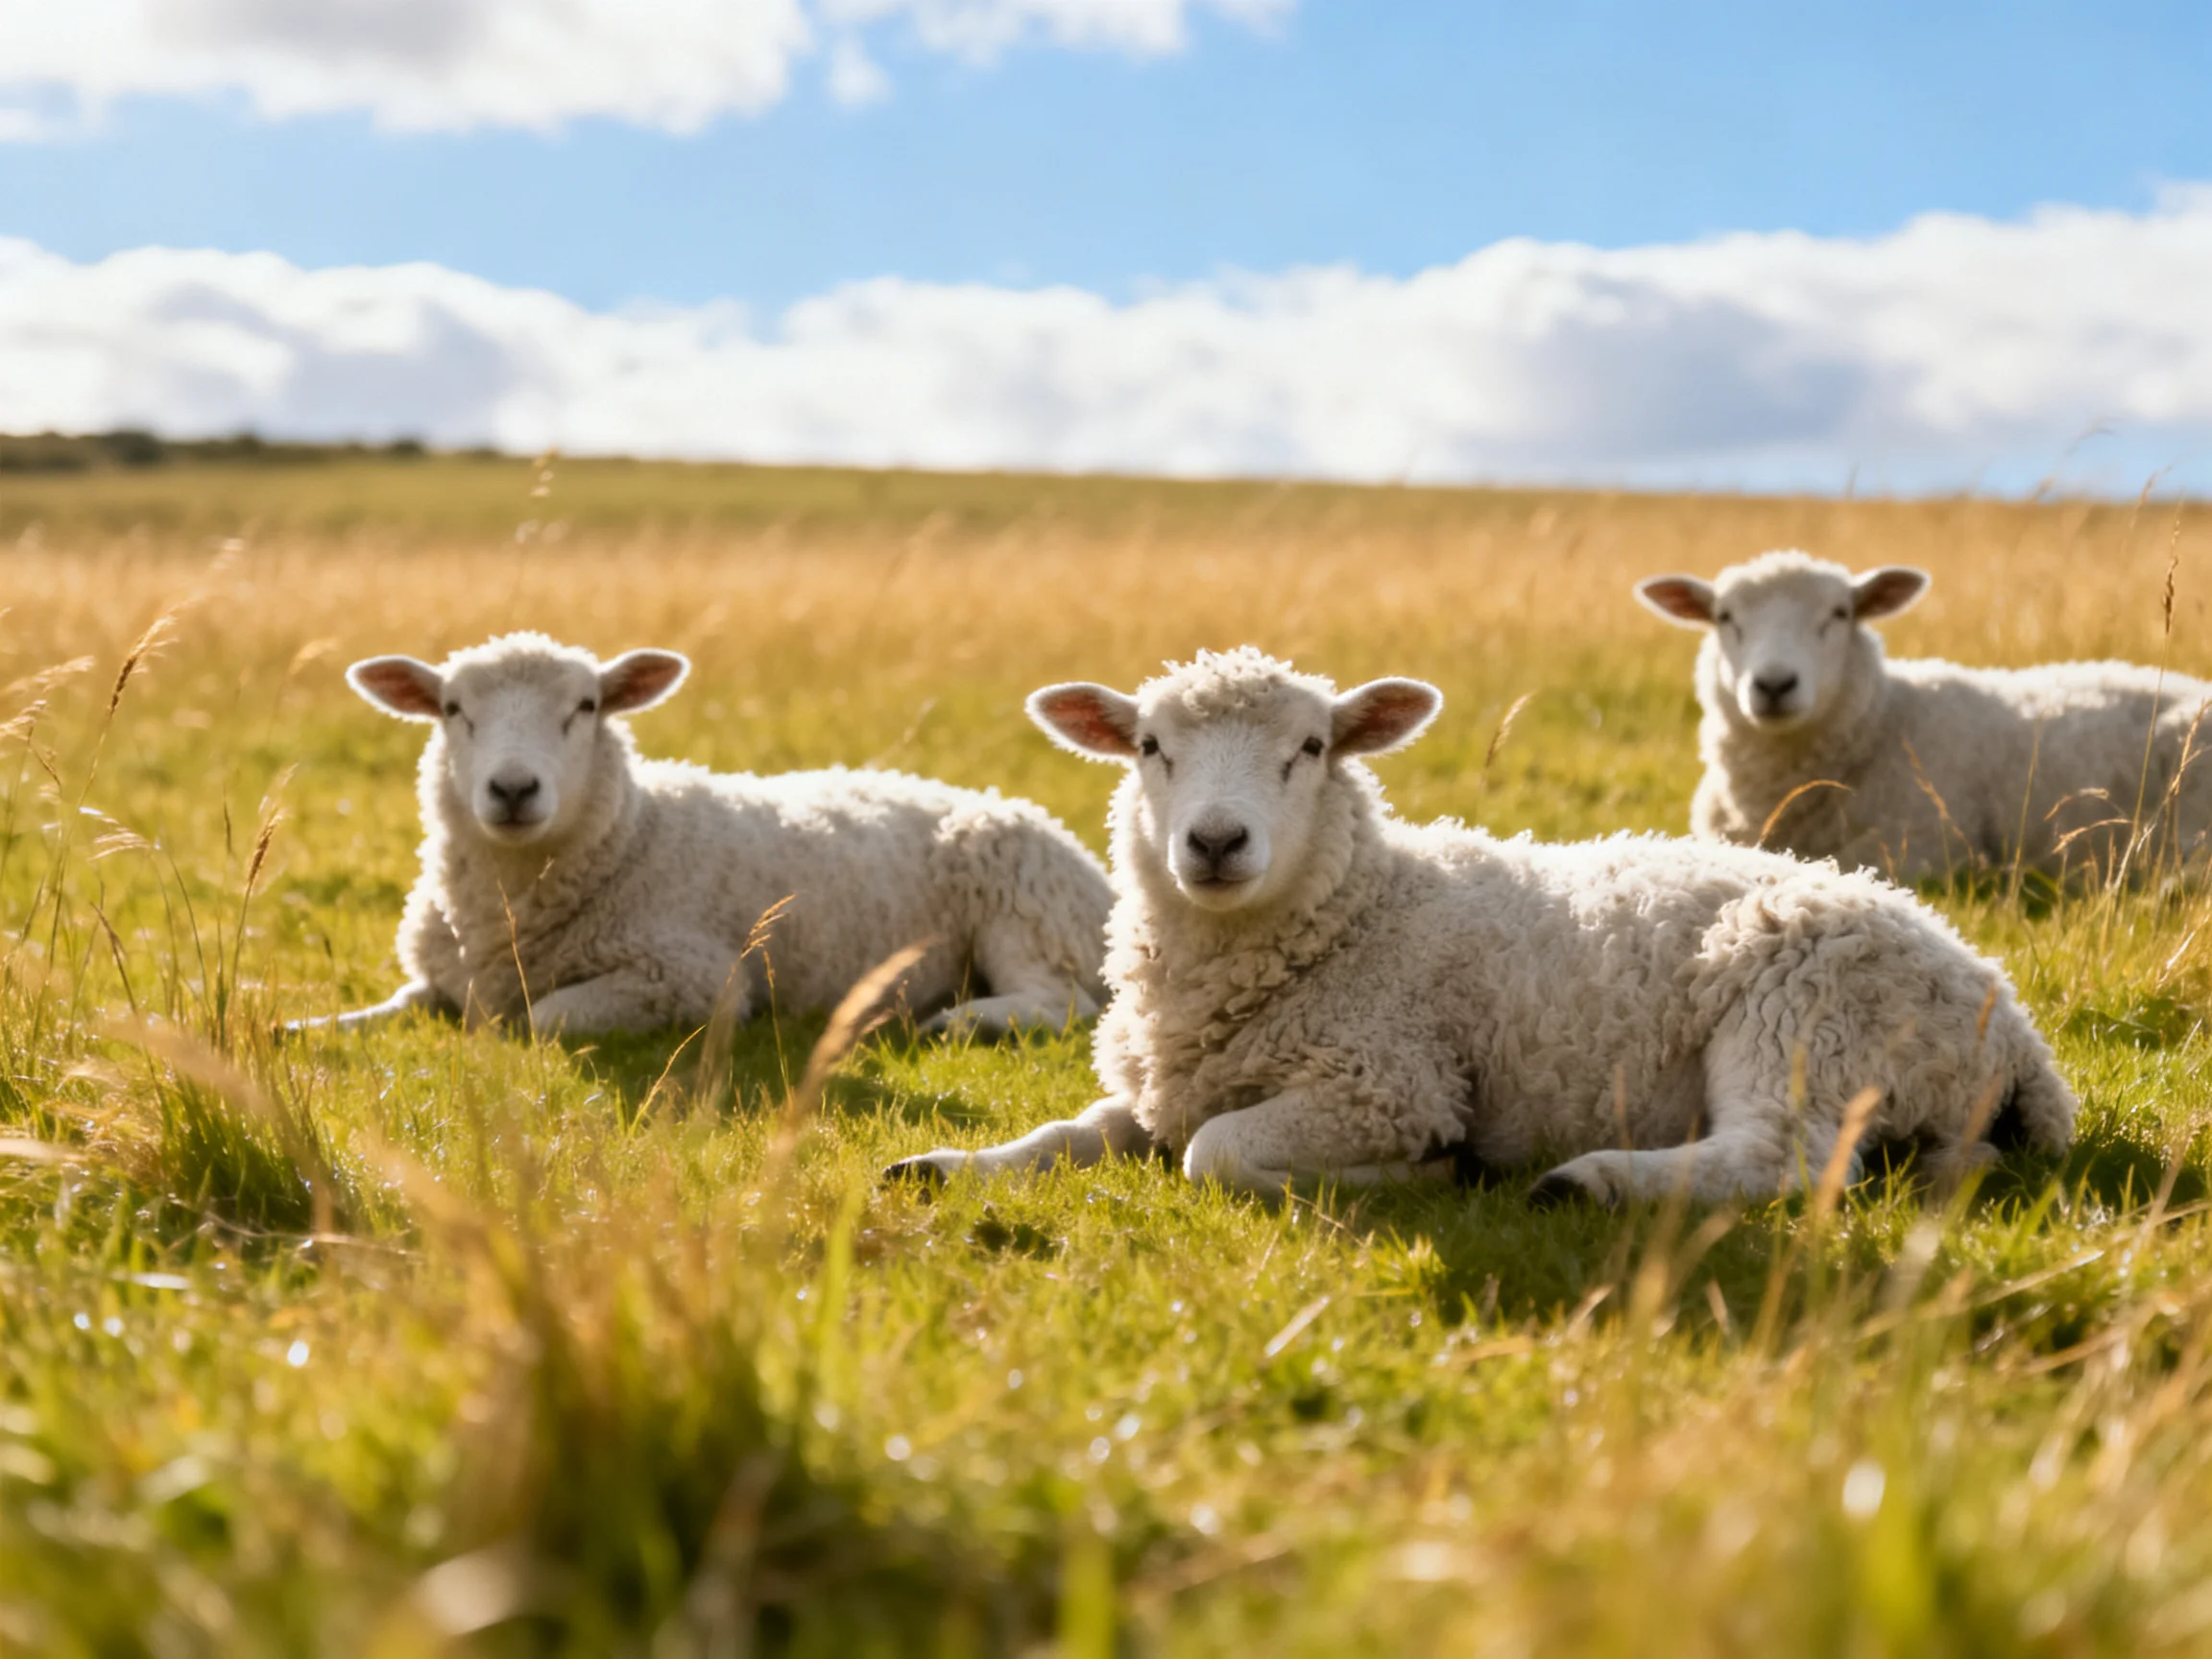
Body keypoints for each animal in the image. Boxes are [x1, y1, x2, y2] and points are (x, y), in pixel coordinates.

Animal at [294, 632, 1113, 1039]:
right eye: (452, 708)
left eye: (586, 706)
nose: (514, 789)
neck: (632, 836)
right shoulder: (440, 978)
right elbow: (384, 1010)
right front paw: (297, 1027)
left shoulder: (694, 977)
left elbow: (541, 1019)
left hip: (1027, 911)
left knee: (1064, 1003)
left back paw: (961, 1022)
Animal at [886, 648, 2075, 1204]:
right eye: (1147, 748)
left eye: (1311, 748)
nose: (1216, 842)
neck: (1361, 913)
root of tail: (2012, 1020)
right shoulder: (1165, 1082)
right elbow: (1072, 1133)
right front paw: (952, 1164)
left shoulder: (1388, 1081)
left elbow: (1210, 1154)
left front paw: (1423, 1176)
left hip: (1801, 1014)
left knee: (1778, 1160)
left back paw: (1587, 1182)